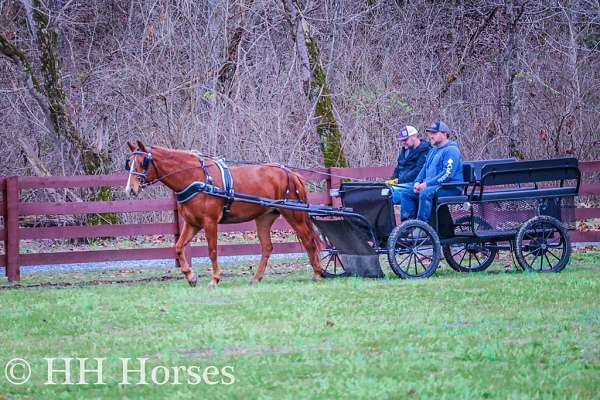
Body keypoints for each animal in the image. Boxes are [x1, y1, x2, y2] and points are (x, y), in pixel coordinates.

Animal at [124, 141, 324, 288]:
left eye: (142, 163)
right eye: (129, 163)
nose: (130, 189)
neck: (197, 178)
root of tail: (290, 173)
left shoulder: (210, 222)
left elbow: (212, 251)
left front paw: (214, 279)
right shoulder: (192, 223)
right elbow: (179, 247)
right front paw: (191, 277)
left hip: (294, 214)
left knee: (308, 240)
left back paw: (317, 273)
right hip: (264, 218)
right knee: (267, 247)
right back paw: (256, 278)